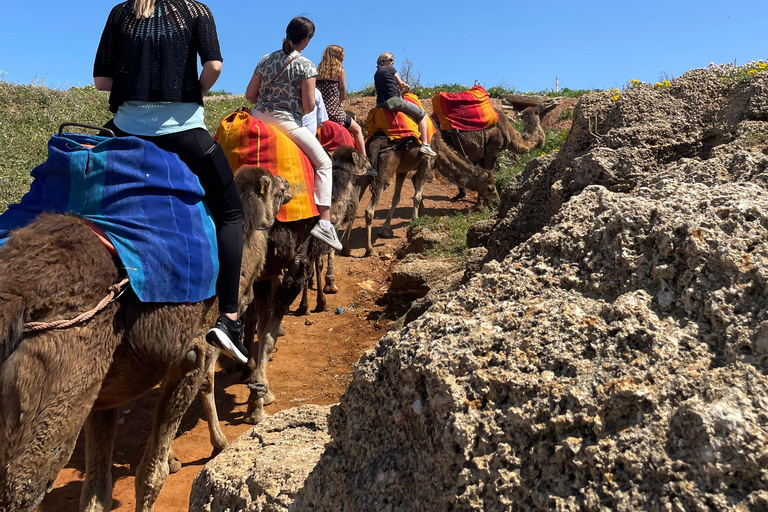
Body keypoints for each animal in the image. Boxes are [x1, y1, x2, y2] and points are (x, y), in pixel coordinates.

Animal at [0, 166, 292, 510]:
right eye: (276, 187)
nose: (289, 185)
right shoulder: (193, 353)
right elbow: (153, 473)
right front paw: (214, 445)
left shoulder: (104, 392)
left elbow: (96, 491)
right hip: (56, 387)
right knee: (22, 486)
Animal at [364, 128, 500, 256]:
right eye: (490, 188)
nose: (498, 201)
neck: (439, 149)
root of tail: (375, 145)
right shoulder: (427, 161)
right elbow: (417, 195)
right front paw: (415, 221)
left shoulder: (402, 169)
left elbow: (396, 198)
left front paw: (385, 229)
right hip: (384, 171)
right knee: (369, 209)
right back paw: (370, 250)